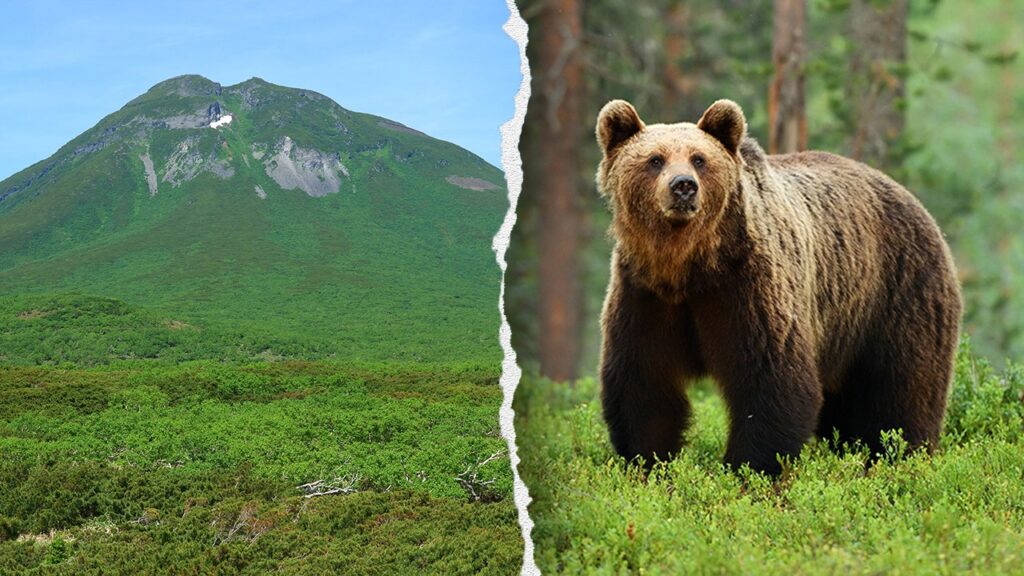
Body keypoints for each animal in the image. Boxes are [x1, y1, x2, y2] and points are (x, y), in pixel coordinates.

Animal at [595, 98, 962, 476]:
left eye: (699, 159)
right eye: (655, 159)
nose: (683, 185)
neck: (689, 266)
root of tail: (913, 201)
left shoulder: (747, 288)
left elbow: (771, 380)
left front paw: (748, 468)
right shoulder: (645, 295)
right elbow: (644, 386)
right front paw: (648, 462)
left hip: (897, 293)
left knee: (902, 391)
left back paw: (900, 456)